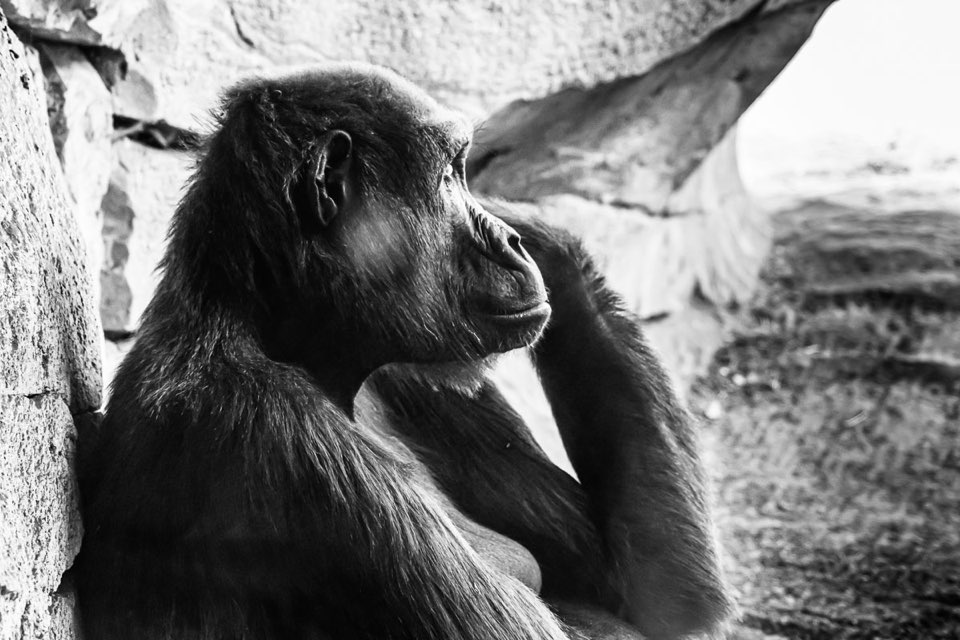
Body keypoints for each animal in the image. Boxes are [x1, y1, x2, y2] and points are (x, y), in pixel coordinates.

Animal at [76, 63, 733, 640]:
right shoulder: (274, 431)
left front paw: (534, 223)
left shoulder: (411, 377)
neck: (311, 354)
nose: (510, 241)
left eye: (464, 174)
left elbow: (648, 590)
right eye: (447, 176)